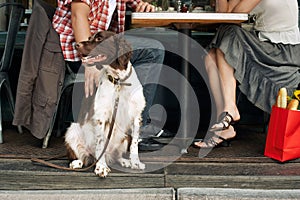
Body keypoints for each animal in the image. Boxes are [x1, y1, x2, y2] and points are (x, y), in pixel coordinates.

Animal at [64, 30, 146, 177]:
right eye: (90, 37)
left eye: (99, 39)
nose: (76, 45)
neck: (119, 81)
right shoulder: (101, 117)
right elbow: (100, 143)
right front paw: (101, 167)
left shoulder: (136, 116)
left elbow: (135, 144)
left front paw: (135, 163)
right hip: (72, 130)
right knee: (82, 156)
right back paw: (77, 163)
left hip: (126, 137)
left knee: (117, 155)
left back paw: (125, 161)